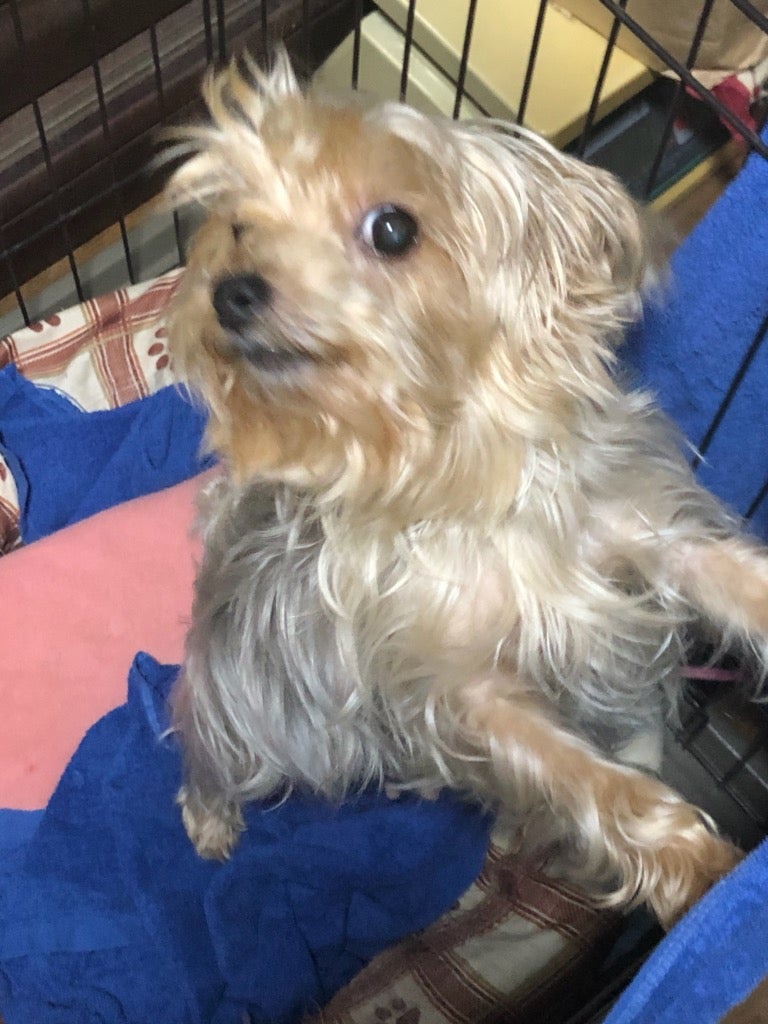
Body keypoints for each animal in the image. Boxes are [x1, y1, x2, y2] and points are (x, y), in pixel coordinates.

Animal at [165, 50, 768, 929]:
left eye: (393, 229)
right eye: (240, 223)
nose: (230, 290)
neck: (461, 477)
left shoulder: (642, 534)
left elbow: (732, 579)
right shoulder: (461, 689)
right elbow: (582, 776)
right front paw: (691, 860)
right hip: (237, 701)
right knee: (205, 751)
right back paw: (209, 818)